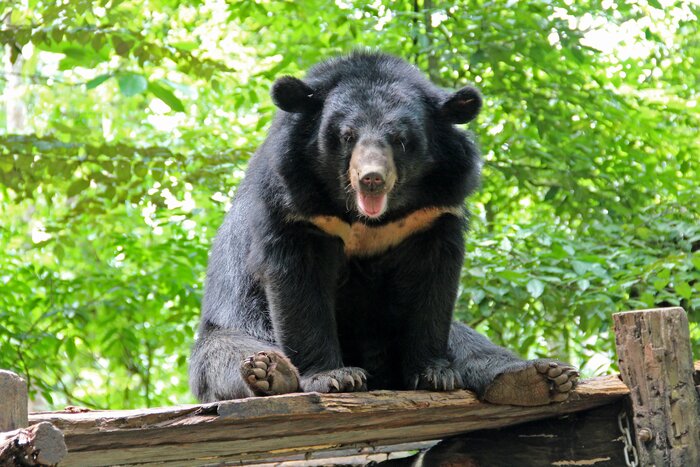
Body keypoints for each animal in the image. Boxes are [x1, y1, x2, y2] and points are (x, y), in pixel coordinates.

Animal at [189, 52, 578, 406]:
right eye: (347, 136)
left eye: (401, 139)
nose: (372, 178)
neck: (368, 218)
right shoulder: (297, 208)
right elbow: (299, 284)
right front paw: (335, 376)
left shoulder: (430, 214)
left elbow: (432, 283)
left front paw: (434, 374)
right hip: (232, 330)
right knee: (229, 351)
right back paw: (271, 371)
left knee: (469, 341)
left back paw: (536, 377)